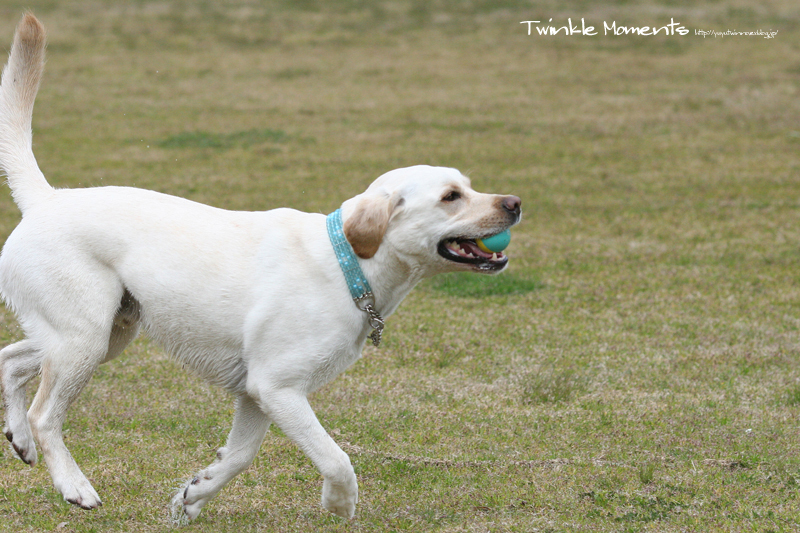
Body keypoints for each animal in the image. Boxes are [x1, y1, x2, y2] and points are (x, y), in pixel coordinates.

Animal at [0, 13, 520, 520]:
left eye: (468, 185)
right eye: (450, 197)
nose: (515, 203)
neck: (349, 264)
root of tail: (47, 199)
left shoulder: (252, 394)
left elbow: (237, 457)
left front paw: (193, 497)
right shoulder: (278, 389)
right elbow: (335, 457)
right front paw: (340, 503)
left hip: (104, 334)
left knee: (10, 359)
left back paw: (19, 441)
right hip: (85, 339)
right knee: (44, 415)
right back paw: (74, 486)